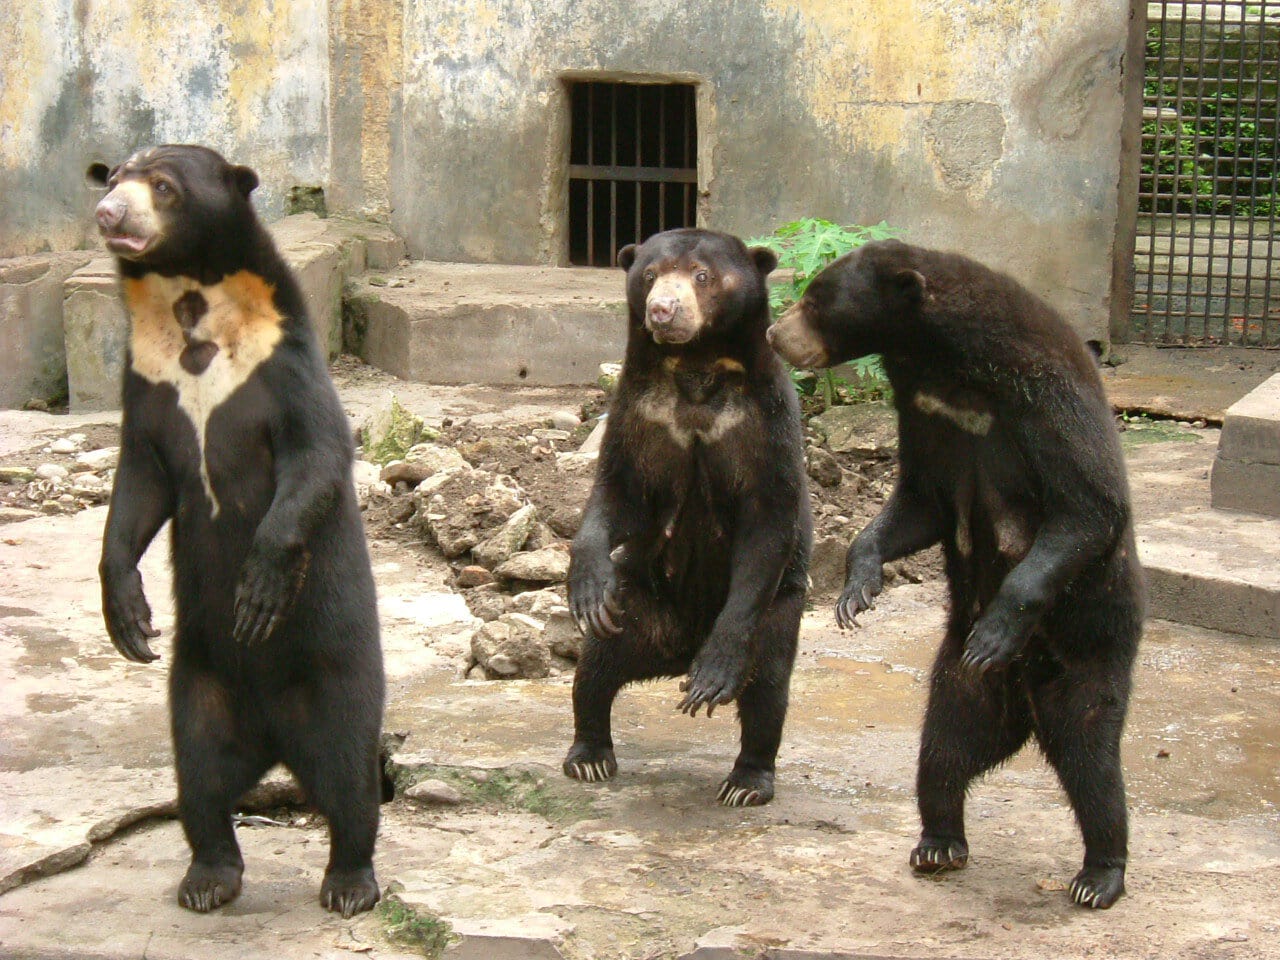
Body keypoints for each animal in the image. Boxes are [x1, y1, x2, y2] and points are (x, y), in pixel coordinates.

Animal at [88, 145, 385, 917]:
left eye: (163, 186)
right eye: (114, 176)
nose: (108, 214)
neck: (190, 303)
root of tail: (275, 740)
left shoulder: (282, 362)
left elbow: (315, 456)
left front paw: (256, 593)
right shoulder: (147, 378)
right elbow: (139, 483)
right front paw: (128, 617)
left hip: (337, 677)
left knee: (351, 780)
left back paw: (349, 884)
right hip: (200, 685)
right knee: (199, 781)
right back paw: (208, 878)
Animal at [565, 228, 812, 807]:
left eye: (702, 275)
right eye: (651, 274)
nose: (662, 310)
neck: (697, 367)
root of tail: (679, 648)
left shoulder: (764, 422)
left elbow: (769, 523)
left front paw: (714, 677)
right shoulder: (640, 412)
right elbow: (619, 491)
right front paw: (586, 588)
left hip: (780, 612)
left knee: (768, 687)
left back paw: (746, 778)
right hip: (639, 600)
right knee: (595, 667)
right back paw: (588, 753)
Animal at [768, 238, 1143, 909]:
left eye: (815, 298)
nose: (773, 333)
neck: (946, 363)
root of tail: (1025, 711)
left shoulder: (1043, 394)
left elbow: (1087, 505)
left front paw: (995, 629)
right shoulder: (926, 415)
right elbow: (921, 502)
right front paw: (855, 590)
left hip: (1092, 652)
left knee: (1092, 760)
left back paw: (1098, 875)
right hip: (959, 688)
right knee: (942, 750)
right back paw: (939, 841)